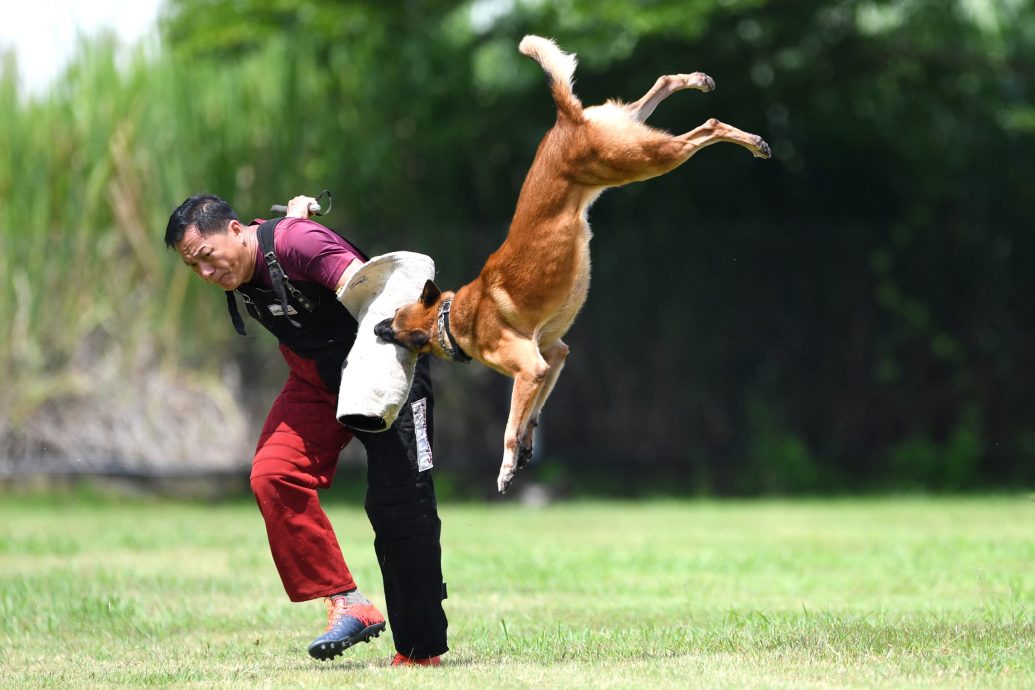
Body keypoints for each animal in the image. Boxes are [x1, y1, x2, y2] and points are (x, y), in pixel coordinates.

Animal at [374, 35, 770, 494]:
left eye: (395, 318)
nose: (375, 328)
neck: (453, 316)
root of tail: (567, 120)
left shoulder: (530, 368)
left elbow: (510, 426)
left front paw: (506, 468)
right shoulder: (553, 357)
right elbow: (532, 411)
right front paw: (528, 445)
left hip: (641, 160)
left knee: (708, 126)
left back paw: (752, 141)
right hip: (626, 136)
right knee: (661, 86)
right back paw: (699, 82)